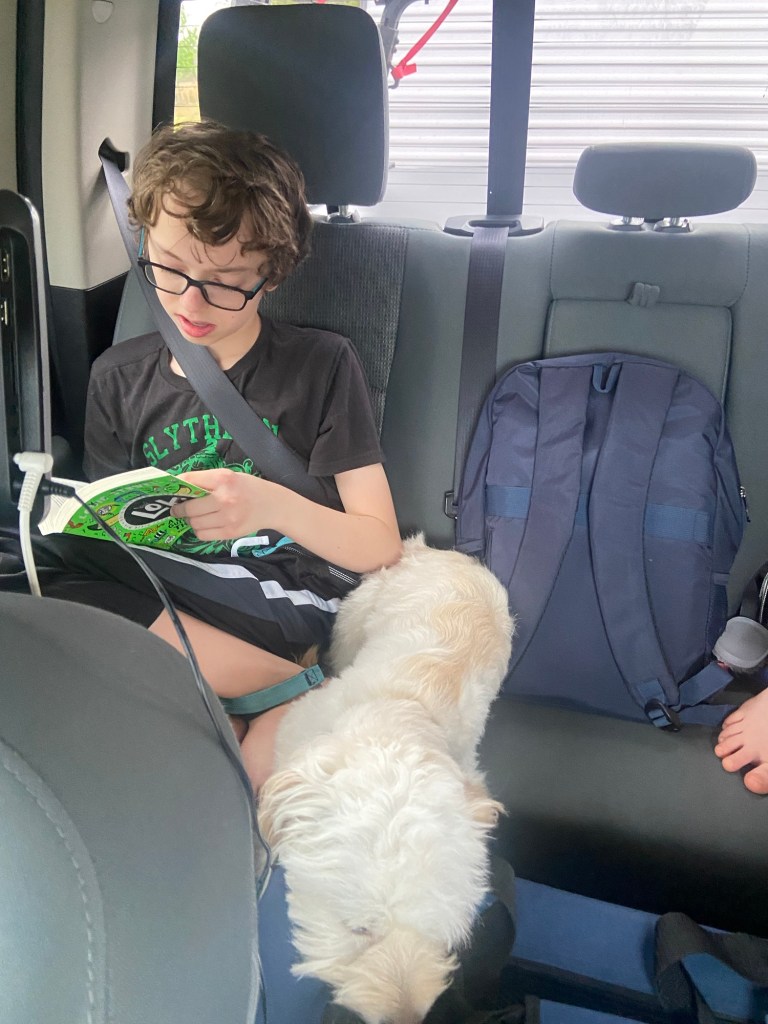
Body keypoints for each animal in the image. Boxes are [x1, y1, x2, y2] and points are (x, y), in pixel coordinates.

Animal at [258, 535, 514, 1024]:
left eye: (439, 928)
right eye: (358, 928)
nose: (407, 1017)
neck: (401, 717)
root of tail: (439, 552)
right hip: (354, 621)